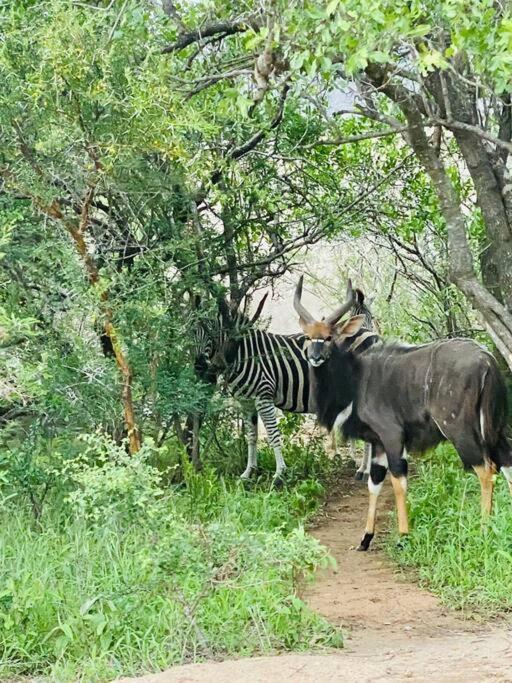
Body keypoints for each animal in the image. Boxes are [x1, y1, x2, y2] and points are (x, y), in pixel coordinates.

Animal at [194, 284, 378, 480]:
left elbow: (273, 435)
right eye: (191, 330)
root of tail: (371, 334)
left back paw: (364, 471)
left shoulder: (264, 396)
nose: (198, 366)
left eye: (210, 329)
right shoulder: (246, 402)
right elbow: (251, 436)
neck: (242, 352)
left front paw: (280, 473)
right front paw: (248, 472)